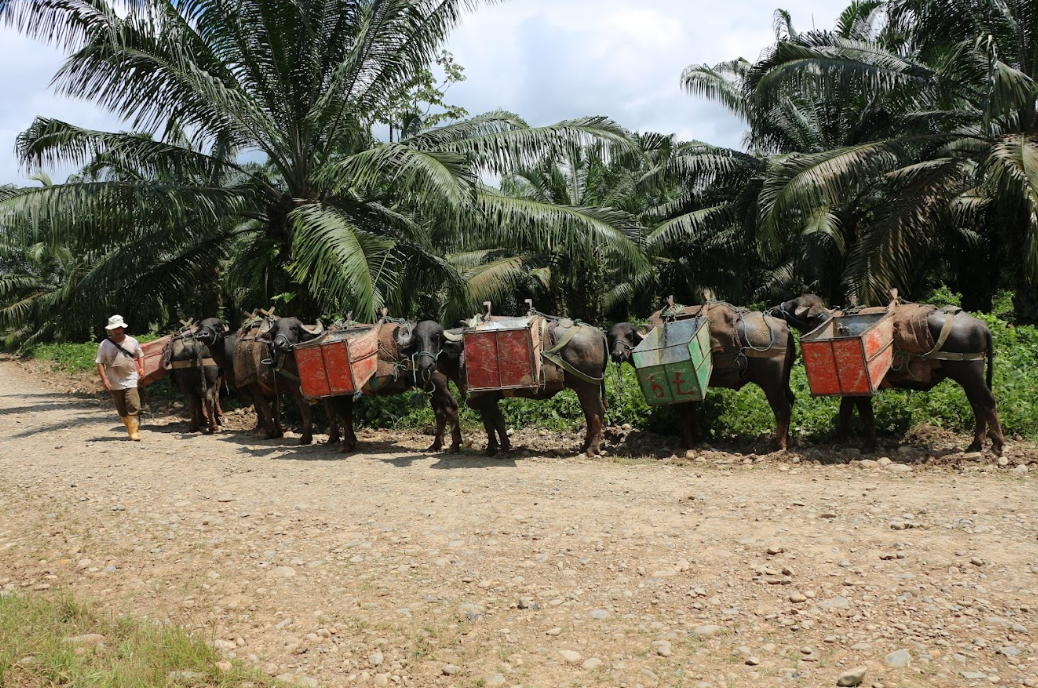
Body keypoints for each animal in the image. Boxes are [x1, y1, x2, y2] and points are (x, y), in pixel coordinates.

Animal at [325, 319, 460, 454]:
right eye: (417, 340)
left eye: (436, 338)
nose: (426, 364)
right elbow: (332, 414)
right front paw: (334, 438)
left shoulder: (342, 393)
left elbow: (344, 415)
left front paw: (347, 444)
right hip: (432, 389)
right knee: (440, 411)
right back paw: (436, 445)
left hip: (438, 386)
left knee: (451, 406)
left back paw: (454, 445)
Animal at [435, 317, 610, 456]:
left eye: (434, 341)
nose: (427, 364)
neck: (461, 355)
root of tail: (599, 333)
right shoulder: (485, 401)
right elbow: (489, 424)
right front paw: (491, 448)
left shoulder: (487, 399)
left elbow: (497, 422)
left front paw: (504, 449)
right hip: (585, 389)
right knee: (589, 414)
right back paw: (585, 446)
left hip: (588, 387)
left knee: (596, 413)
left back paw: (591, 449)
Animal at [606, 305, 793, 450]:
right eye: (611, 337)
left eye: (629, 335)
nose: (617, 354)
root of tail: (783, 326)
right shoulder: (694, 388)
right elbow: (692, 412)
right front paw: (698, 436)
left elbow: (684, 413)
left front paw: (686, 443)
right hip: (784, 382)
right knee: (790, 401)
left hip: (772, 384)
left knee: (782, 409)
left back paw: (779, 445)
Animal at [772, 292, 1004, 456]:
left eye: (792, 303)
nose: (774, 309)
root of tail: (981, 325)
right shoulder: (851, 389)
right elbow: (845, 410)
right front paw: (837, 438)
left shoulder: (862, 388)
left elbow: (865, 414)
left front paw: (869, 444)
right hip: (969, 377)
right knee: (977, 403)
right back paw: (976, 444)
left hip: (969, 373)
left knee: (987, 401)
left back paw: (997, 445)